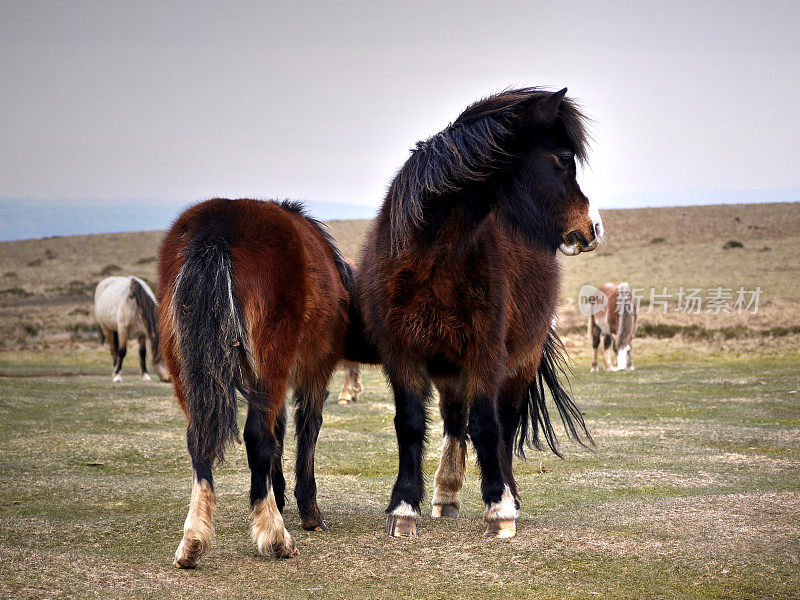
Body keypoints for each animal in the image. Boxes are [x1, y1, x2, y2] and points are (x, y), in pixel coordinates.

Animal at [158, 198, 352, 568]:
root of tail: (216, 228)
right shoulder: (315, 369)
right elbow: (306, 429)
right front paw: (307, 510)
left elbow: (280, 430)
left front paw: (281, 494)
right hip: (271, 356)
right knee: (258, 436)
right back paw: (275, 536)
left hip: (184, 364)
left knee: (198, 439)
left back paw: (193, 540)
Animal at [356, 88, 600, 540]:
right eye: (563, 159)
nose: (593, 227)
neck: (431, 256)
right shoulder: (402, 354)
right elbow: (410, 424)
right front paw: (404, 507)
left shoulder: (486, 354)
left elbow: (488, 428)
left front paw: (499, 509)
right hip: (449, 366)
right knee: (454, 421)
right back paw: (447, 494)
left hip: (518, 365)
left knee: (502, 425)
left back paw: (508, 495)